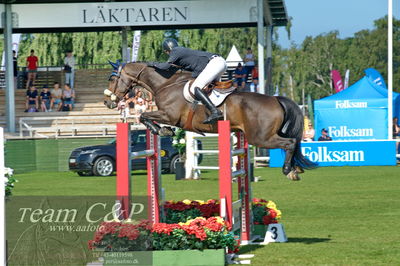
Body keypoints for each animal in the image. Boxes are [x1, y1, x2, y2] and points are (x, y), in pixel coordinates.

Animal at [104, 61, 318, 180]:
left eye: (112, 79)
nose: (108, 102)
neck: (166, 83)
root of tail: (275, 99)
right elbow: (146, 118)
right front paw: (164, 131)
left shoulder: (169, 115)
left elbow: (144, 115)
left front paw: (162, 130)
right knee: (293, 143)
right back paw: (296, 168)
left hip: (260, 137)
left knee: (289, 143)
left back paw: (288, 170)